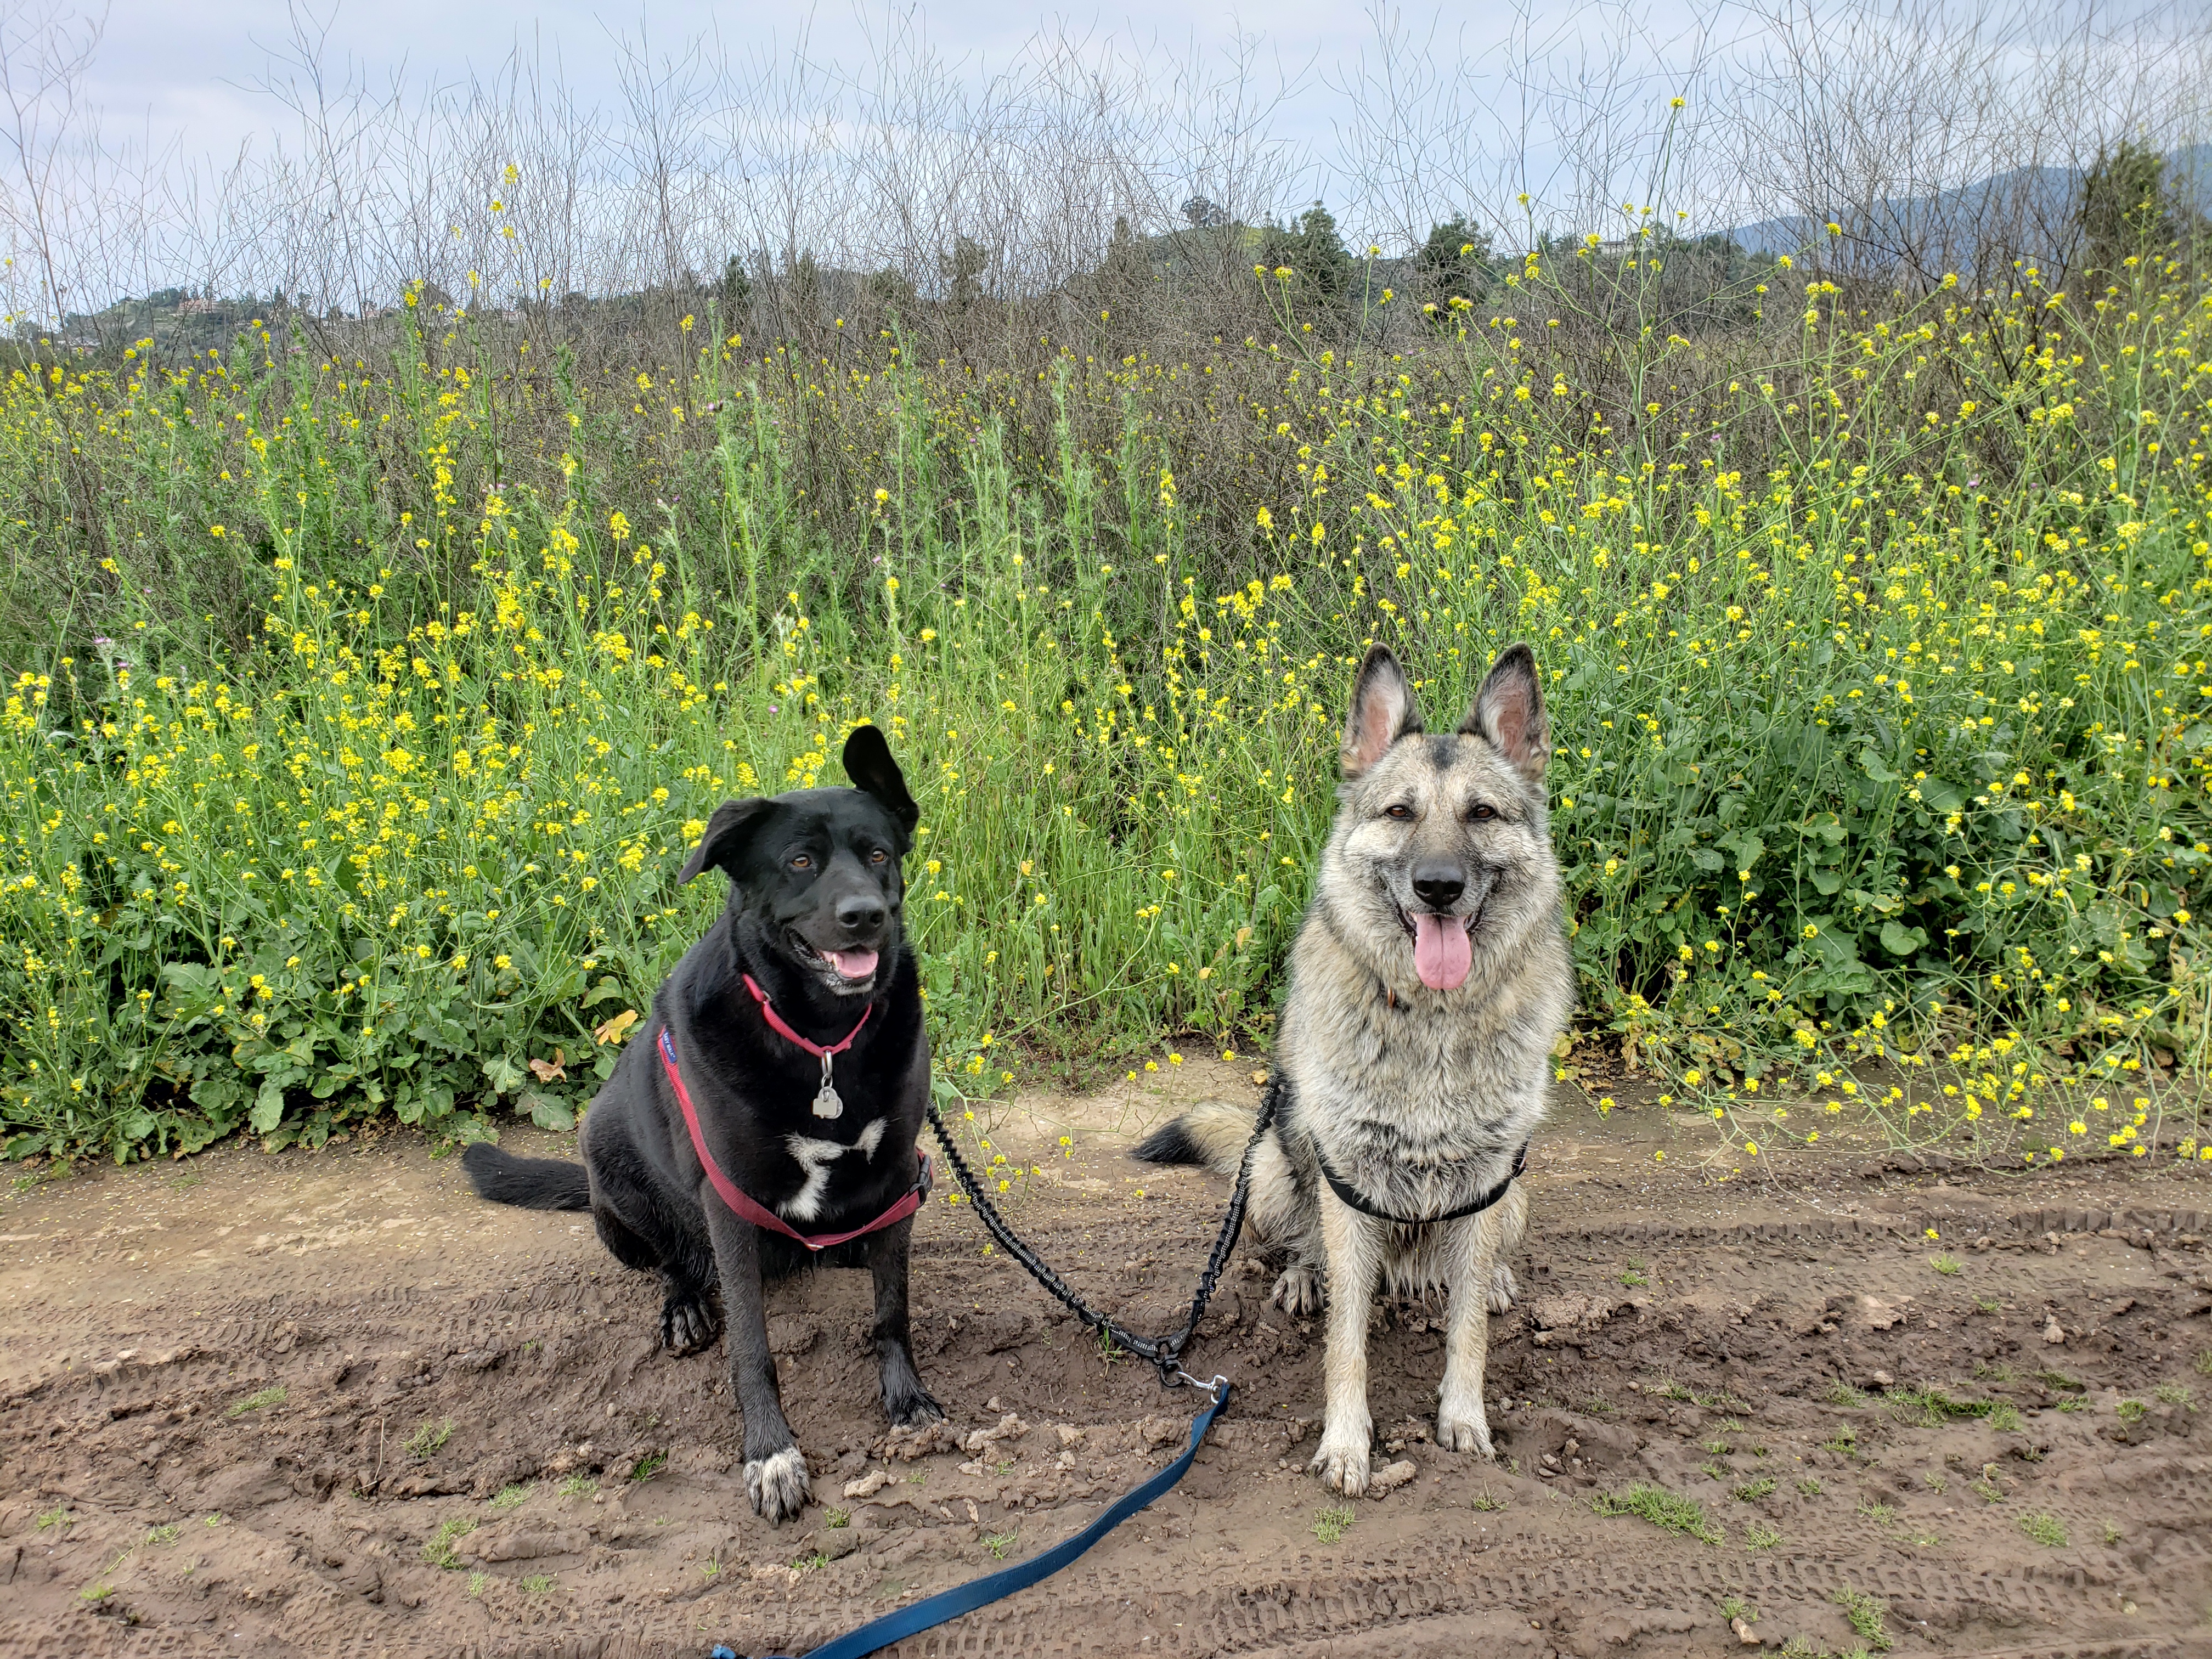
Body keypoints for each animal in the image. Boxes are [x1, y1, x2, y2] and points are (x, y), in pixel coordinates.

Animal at [462, 725, 946, 1522]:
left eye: (878, 854)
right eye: (801, 861)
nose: (864, 915)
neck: (822, 1039)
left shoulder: (901, 1170)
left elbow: (892, 1308)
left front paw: (906, 1399)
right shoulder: (728, 1198)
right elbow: (752, 1346)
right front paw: (770, 1453)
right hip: (612, 1174)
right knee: (674, 1262)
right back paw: (685, 1306)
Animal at [1141, 646, 1575, 1495]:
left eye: (1482, 814)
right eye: (1400, 813)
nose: (1438, 886)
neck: (1431, 1021)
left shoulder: (1486, 1182)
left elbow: (1467, 1331)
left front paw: (1464, 1417)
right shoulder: (1348, 1184)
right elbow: (1347, 1342)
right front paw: (1346, 1444)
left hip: (1516, 1195)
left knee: (1483, 1264)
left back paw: (1495, 1280)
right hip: (1272, 1171)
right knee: (1304, 1242)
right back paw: (1304, 1277)